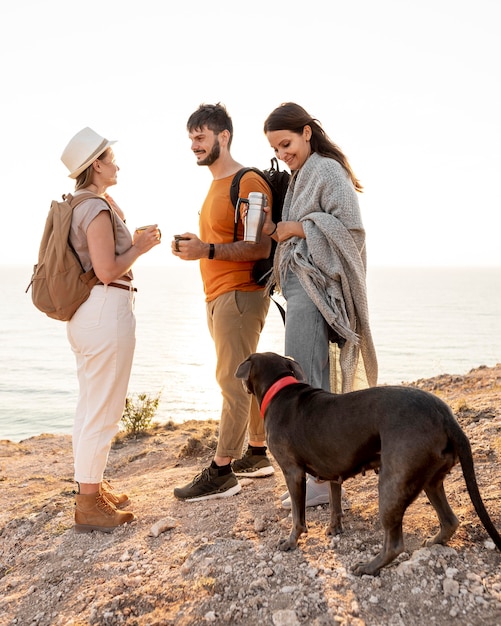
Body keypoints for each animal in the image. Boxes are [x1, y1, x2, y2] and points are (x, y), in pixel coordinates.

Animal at [235, 348, 500, 572]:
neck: (280, 390)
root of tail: (446, 417)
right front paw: (334, 529)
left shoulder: (293, 473)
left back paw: (368, 567)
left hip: (392, 486)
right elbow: (335, 504)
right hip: (430, 481)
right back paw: (433, 542)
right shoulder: (333, 472)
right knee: (449, 521)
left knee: (395, 544)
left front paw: (291, 542)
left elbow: (297, 517)